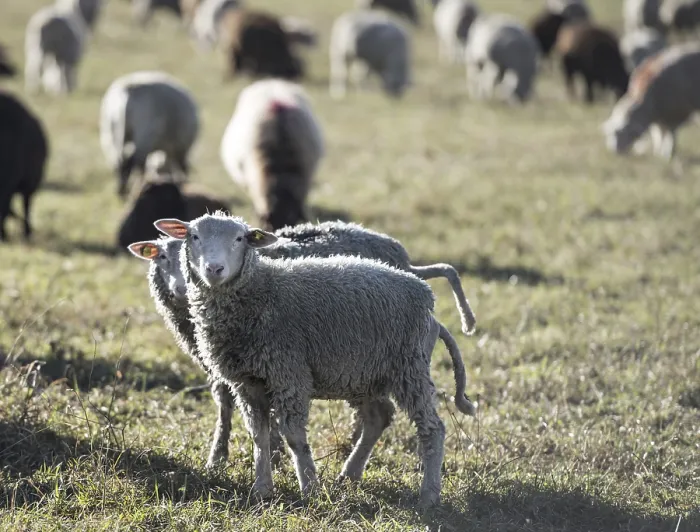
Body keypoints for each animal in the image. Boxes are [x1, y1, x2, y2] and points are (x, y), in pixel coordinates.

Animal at [100, 71, 200, 199]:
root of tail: (129, 90)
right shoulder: (181, 149)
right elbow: (182, 170)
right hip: (144, 134)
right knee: (134, 161)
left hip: (113, 133)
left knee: (120, 162)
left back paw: (122, 190)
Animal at [154, 213, 476, 507]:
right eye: (194, 236)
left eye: (240, 239)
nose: (214, 269)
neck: (262, 290)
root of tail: (429, 304)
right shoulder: (247, 382)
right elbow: (259, 436)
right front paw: (262, 489)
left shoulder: (288, 372)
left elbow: (294, 437)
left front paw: (309, 488)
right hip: (364, 373)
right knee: (378, 417)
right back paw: (349, 474)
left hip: (409, 369)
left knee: (432, 429)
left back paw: (429, 496)